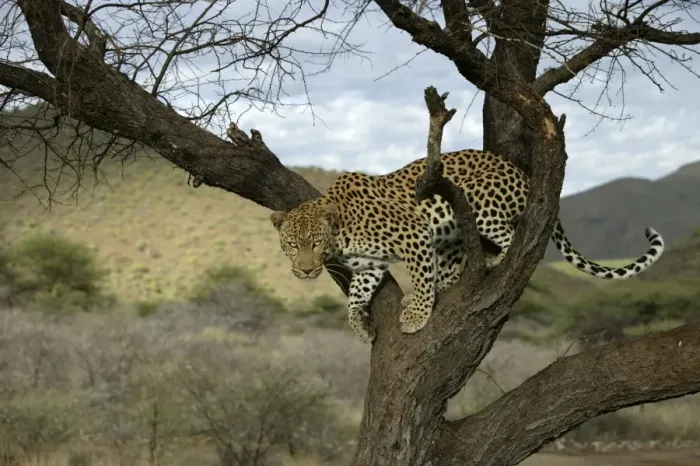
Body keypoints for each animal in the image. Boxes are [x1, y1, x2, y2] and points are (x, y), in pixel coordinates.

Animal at [270, 149, 665, 344]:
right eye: (291, 245)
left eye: (314, 243)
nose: (305, 269)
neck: (342, 232)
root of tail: (525, 175)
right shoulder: (370, 264)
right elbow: (356, 295)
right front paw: (360, 326)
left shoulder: (414, 233)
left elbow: (421, 276)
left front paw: (415, 317)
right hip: (452, 233)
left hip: (475, 202)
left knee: (513, 239)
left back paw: (490, 264)